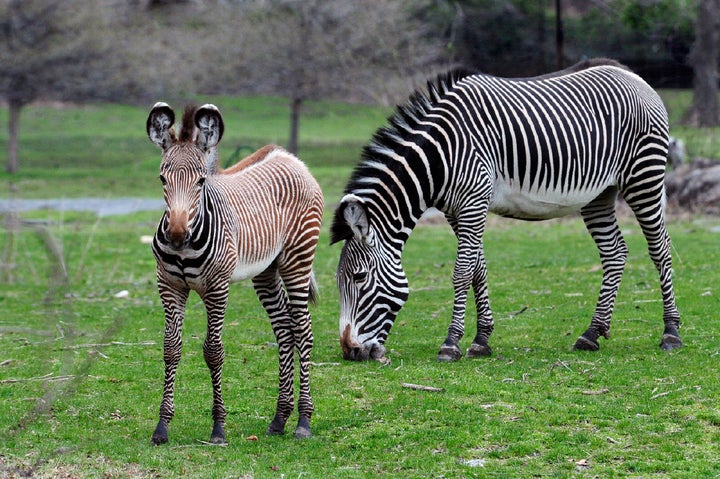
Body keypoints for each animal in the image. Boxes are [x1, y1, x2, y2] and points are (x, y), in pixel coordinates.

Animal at [145, 103, 322, 444]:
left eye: (201, 181)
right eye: (162, 178)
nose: (176, 235)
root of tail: (288, 157)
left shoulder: (217, 287)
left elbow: (213, 351)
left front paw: (218, 428)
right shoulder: (169, 286)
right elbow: (171, 349)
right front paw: (162, 427)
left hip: (297, 259)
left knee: (303, 330)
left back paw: (304, 421)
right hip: (266, 270)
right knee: (285, 329)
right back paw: (279, 418)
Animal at [330, 59, 680, 364]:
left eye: (360, 277)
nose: (350, 351)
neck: (439, 158)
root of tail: (634, 76)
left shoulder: (473, 203)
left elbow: (461, 273)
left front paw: (451, 343)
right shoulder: (457, 210)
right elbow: (478, 270)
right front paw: (481, 339)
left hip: (643, 176)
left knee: (660, 249)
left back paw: (671, 333)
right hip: (599, 194)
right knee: (615, 252)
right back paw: (592, 333)